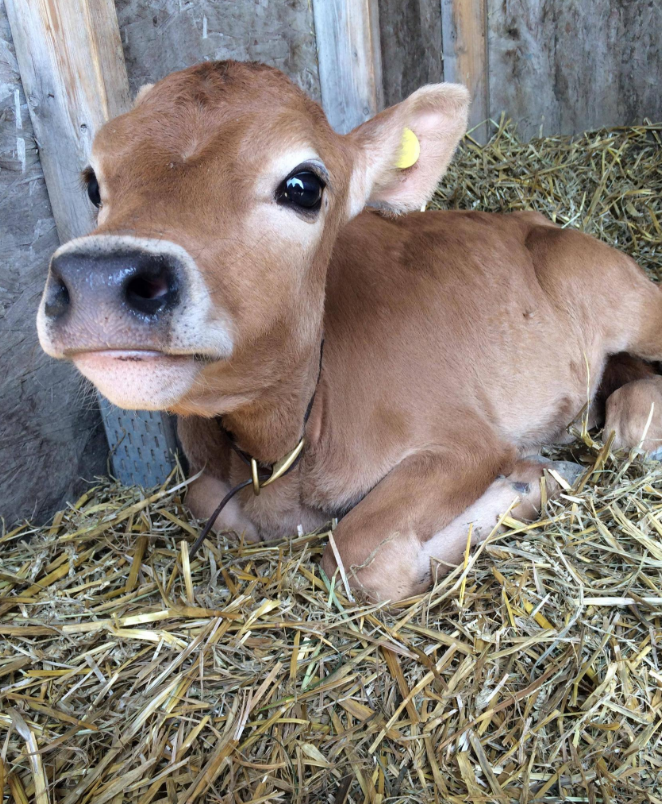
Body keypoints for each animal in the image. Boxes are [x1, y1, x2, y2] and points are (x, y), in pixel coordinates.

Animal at [37, 61, 662, 601]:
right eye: (92, 183)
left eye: (303, 186)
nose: (98, 278)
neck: (287, 442)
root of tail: (534, 220)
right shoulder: (212, 486)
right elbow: (210, 503)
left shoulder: (465, 443)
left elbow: (357, 556)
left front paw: (530, 483)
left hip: (630, 300)